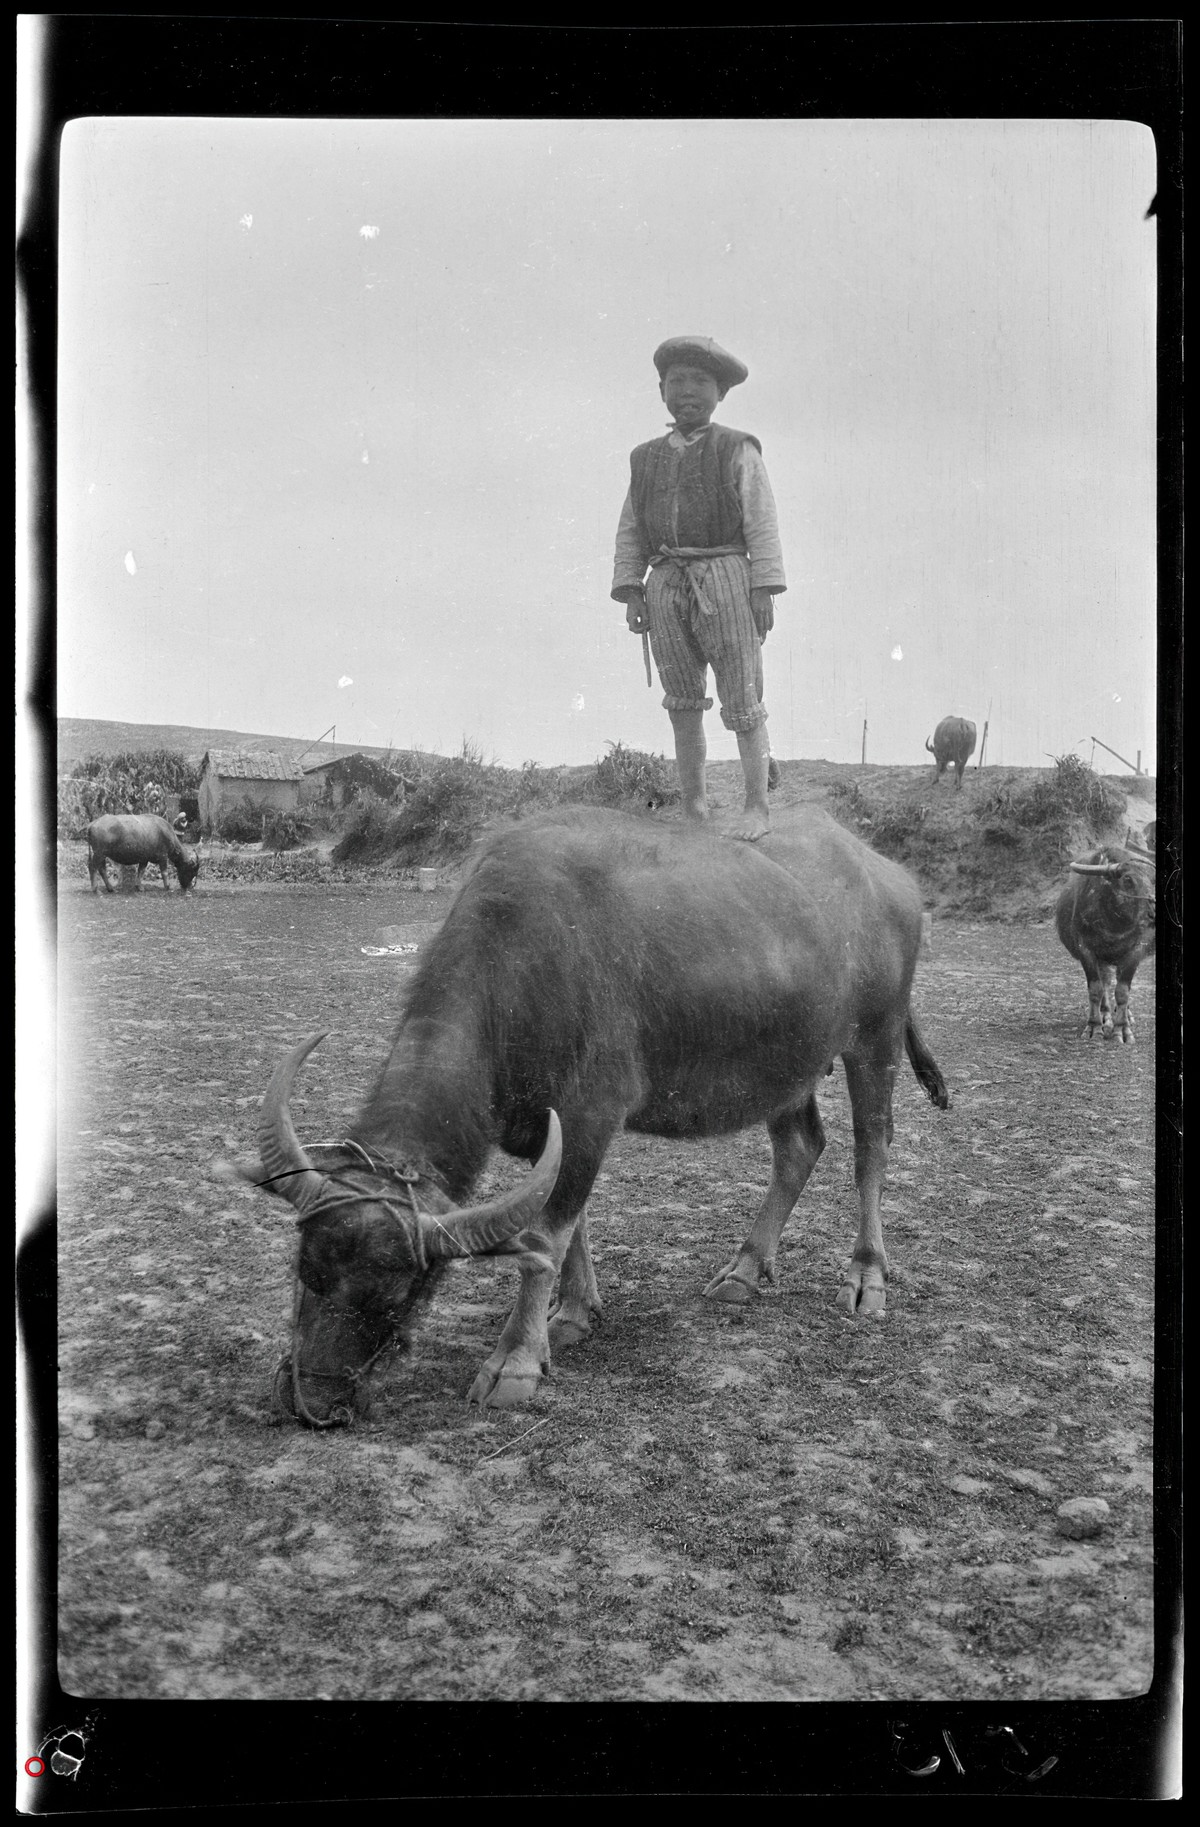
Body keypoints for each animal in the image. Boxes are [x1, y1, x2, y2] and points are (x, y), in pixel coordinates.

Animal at [239, 811, 942, 1425]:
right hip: (789, 1064)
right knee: (799, 1147)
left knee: (870, 1151)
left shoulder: (590, 1114)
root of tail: (891, 877)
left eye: (397, 1291)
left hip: (874, 1041)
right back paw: (744, 1268)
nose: (313, 1402)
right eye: (306, 1272)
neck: (523, 963)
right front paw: (574, 1314)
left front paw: (515, 1362)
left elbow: (546, 1233)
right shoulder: (548, 1129)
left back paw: (867, 1278)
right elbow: (569, 1224)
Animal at [1059, 840, 1154, 1045]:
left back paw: (1125, 1016)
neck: (1114, 923)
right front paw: (1094, 1027)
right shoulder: (1086, 950)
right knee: (1106, 983)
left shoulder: (1135, 951)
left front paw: (1123, 1030)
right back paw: (1106, 1015)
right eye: (1128, 879)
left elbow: (1123, 991)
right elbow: (1096, 989)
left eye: (1154, 879)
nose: (1154, 911)